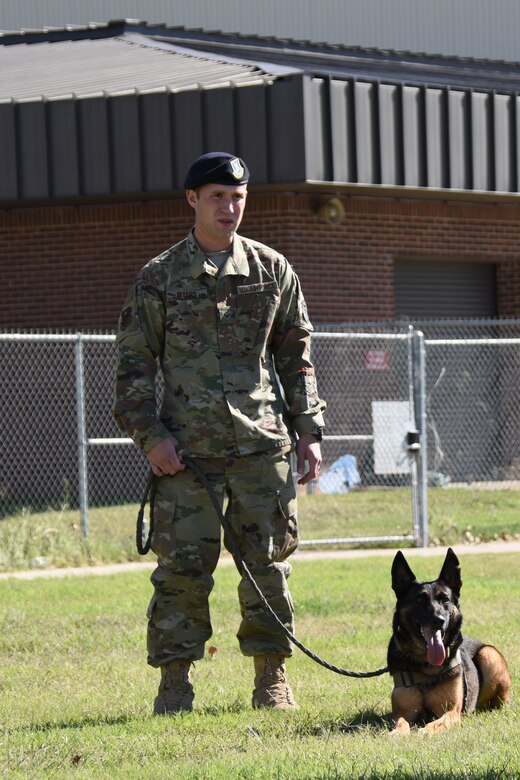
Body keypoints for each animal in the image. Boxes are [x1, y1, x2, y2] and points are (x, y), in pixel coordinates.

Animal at [388, 548, 510, 732]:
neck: (426, 666)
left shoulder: (452, 711)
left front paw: (425, 731)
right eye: (419, 600)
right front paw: (397, 733)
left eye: (444, 599)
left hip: (489, 654)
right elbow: (401, 723)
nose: (438, 620)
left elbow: (437, 723)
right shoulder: (403, 712)